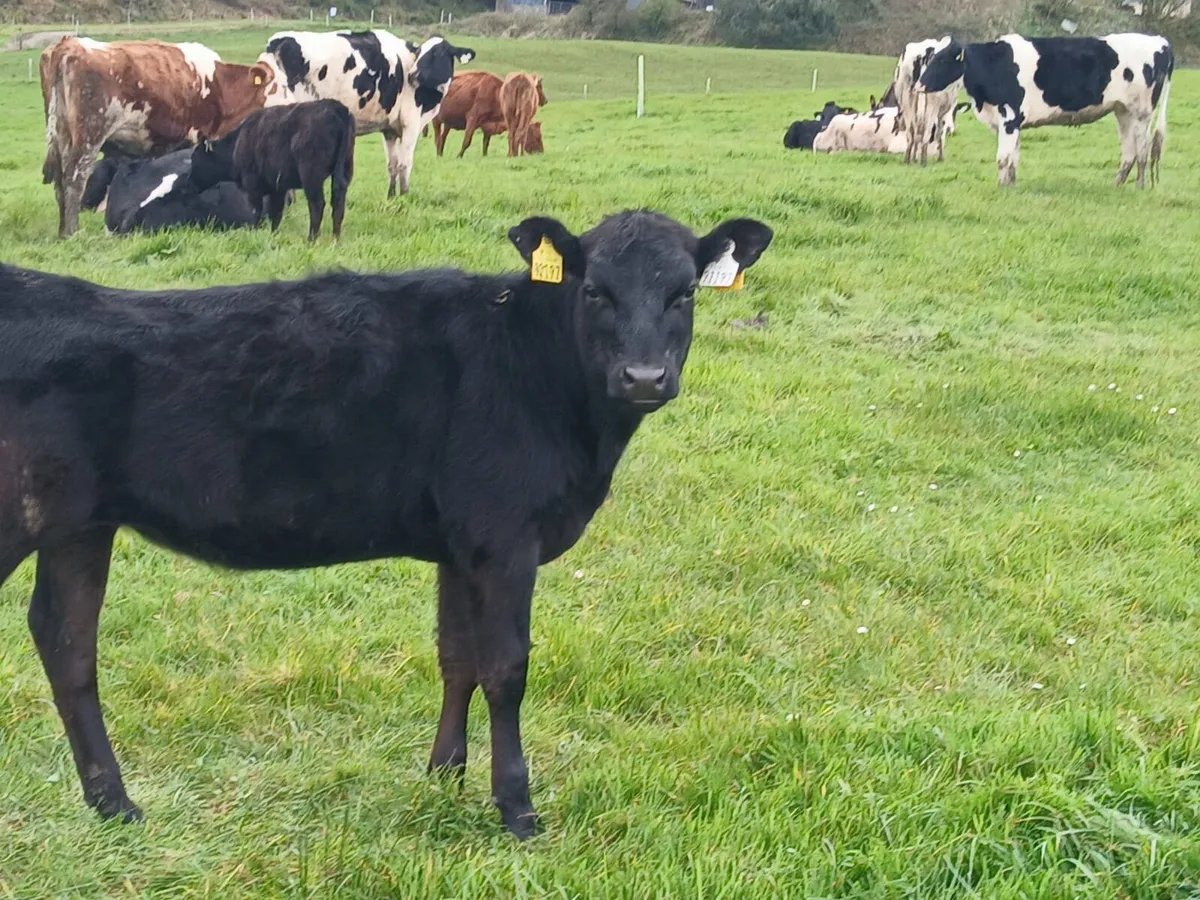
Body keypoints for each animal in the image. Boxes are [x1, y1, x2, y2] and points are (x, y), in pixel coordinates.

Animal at [0, 209, 773, 839]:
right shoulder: (504, 535)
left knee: (67, 643)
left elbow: (456, 657)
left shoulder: (461, 544)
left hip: (79, 525)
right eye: (594, 292)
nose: (643, 377)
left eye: (684, 293)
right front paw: (516, 807)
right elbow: (505, 667)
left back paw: (115, 804)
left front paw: (444, 778)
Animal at [191, 99, 355, 241]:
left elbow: (257, 212)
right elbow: (275, 213)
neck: (237, 142)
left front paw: (255, 233)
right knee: (338, 203)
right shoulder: (279, 187)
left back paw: (311, 239)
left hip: (311, 175)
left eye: (194, 158)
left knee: (317, 204)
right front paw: (273, 235)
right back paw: (335, 239)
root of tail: (337, 107)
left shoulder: (253, 186)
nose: (189, 182)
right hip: (344, 169)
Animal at [257, 31, 475, 198]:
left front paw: (391, 196)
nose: (413, 75)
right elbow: (405, 164)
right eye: (422, 53)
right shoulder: (411, 124)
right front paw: (405, 196)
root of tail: (279, 41)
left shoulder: (389, 130)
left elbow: (392, 164)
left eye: (438, 53)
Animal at [918, 33, 1173, 187]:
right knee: (1129, 151)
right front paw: (1011, 186)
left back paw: (1139, 186)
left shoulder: (1009, 118)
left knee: (1142, 150)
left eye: (943, 60)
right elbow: (1013, 159)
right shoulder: (1013, 122)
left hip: (1142, 113)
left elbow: (1003, 158)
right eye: (929, 59)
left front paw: (1001, 188)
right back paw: (1117, 185)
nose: (919, 84)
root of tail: (1160, 41)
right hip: (1123, 112)